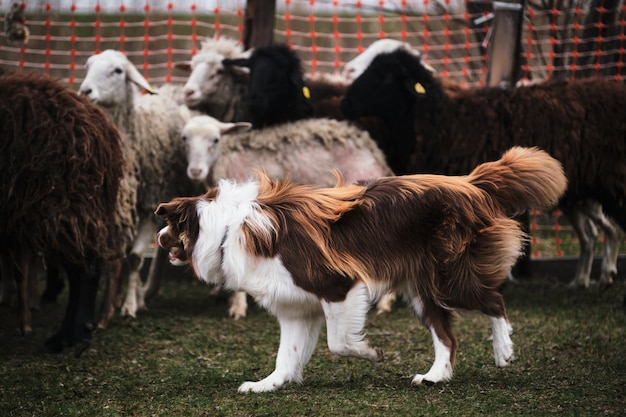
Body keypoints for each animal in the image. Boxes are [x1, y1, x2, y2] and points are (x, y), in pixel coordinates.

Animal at [79, 49, 197, 322]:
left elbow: (133, 258)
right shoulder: (117, 210)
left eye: (118, 71)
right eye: (89, 66)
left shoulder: (149, 205)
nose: (85, 91)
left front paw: (129, 305)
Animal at [155, 145, 564, 390]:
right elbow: (285, 355)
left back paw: (503, 350)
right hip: (422, 289)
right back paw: (434, 377)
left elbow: (338, 343)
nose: (157, 238)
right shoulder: (295, 308)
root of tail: (472, 183)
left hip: (451, 279)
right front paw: (268, 384)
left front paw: (371, 353)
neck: (227, 227)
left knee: (495, 302)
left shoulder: (339, 286)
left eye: (170, 226)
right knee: (447, 337)